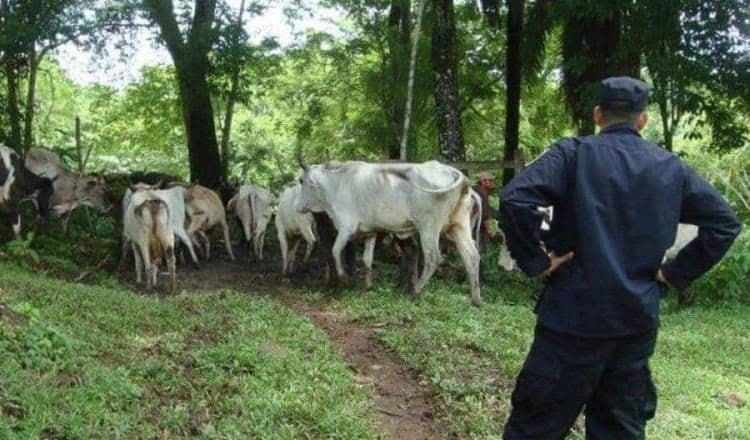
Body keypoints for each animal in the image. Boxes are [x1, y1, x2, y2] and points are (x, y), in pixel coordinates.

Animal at [296, 158, 482, 306]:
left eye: (301, 180)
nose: (298, 207)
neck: (337, 184)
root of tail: (452, 171)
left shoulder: (346, 227)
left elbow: (335, 251)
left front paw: (344, 278)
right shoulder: (369, 232)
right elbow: (367, 259)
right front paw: (368, 285)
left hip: (429, 227)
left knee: (433, 258)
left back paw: (415, 291)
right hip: (458, 226)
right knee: (471, 256)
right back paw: (476, 299)